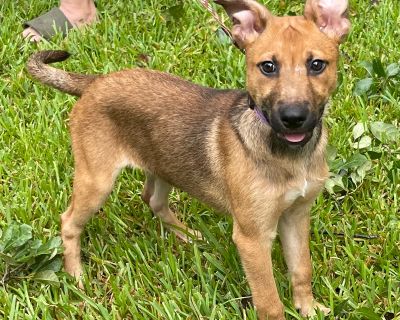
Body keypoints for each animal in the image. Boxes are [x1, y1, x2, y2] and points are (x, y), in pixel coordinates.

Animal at [27, 0, 350, 318]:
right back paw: (76, 276)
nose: (293, 118)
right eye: (268, 67)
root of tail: (95, 82)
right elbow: (269, 302)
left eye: (317, 65)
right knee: (69, 222)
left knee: (153, 200)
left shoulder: (297, 215)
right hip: (97, 180)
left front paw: (308, 308)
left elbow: (302, 269)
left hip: (163, 163)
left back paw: (189, 235)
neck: (288, 155)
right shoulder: (253, 238)